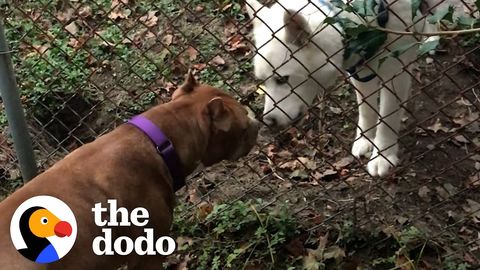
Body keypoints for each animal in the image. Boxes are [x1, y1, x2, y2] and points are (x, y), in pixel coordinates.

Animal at [248, 0, 438, 177]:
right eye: (263, 81)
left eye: (281, 79)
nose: (268, 121)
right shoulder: (361, 72)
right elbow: (366, 111)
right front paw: (365, 141)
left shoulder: (395, 75)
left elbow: (387, 120)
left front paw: (382, 156)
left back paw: (431, 38)